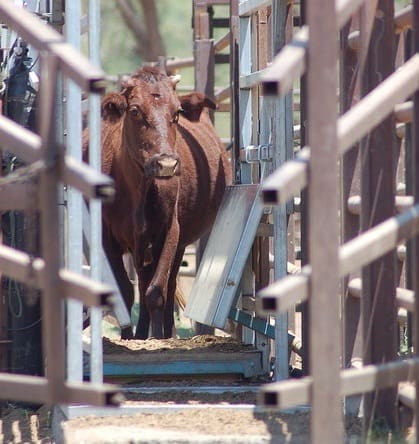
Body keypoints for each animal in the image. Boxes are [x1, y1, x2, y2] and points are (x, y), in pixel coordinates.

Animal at [84, 66, 231, 338]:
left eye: (177, 112)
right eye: (134, 111)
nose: (166, 164)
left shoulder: (170, 231)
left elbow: (157, 293)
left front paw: (160, 337)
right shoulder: (106, 236)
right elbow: (126, 291)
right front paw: (129, 338)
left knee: (166, 284)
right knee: (142, 283)